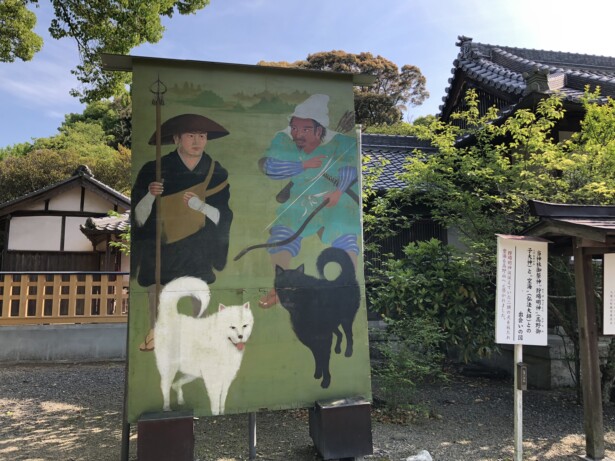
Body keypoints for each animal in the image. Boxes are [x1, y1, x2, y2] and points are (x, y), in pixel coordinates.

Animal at [155, 274, 254, 416]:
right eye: (232, 327)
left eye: (245, 325)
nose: (241, 337)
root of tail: (170, 316)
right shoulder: (213, 381)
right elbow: (215, 406)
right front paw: (216, 414)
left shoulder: (226, 380)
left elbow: (222, 403)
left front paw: (222, 413)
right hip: (169, 368)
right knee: (165, 386)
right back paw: (167, 408)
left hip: (191, 373)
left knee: (176, 384)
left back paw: (180, 400)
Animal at [274, 246, 360, 386]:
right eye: (282, 287)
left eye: (295, 287)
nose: (287, 298)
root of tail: (345, 276)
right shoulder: (311, 338)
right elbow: (317, 358)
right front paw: (318, 374)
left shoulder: (324, 337)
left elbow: (324, 360)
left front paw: (326, 381)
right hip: (333, 324)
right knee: (340, 334)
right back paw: (338, 349)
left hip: (346, 320)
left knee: (349, 336)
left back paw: (348, 352)